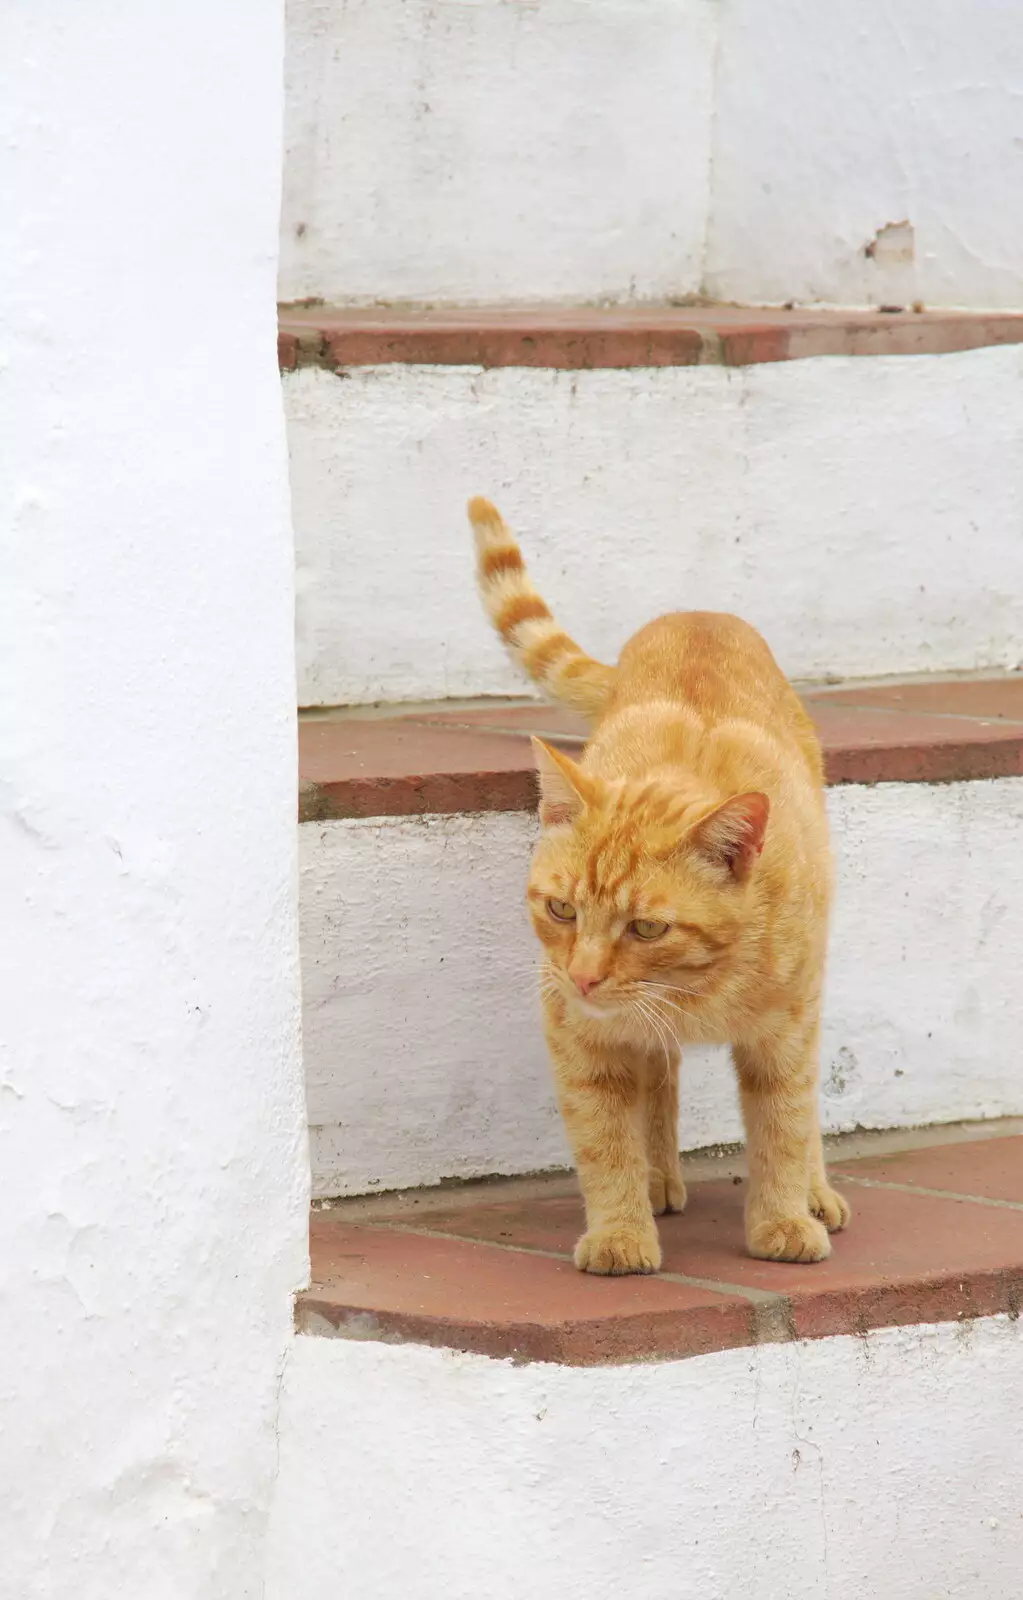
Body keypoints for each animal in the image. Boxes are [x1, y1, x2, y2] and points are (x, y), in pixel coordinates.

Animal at [467, 496, 851, 1273]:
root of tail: (698, 613)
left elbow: (785, 1123)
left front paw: (784, 1219)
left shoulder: (786, 1031)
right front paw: (621, 1229)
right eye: (561, 909)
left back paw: (813, 1192)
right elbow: (604, 1139)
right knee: (659, 1077)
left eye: (646, 927)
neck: (695, 988)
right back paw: (657, 1177)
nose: (584, 975)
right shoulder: (581, 1034)